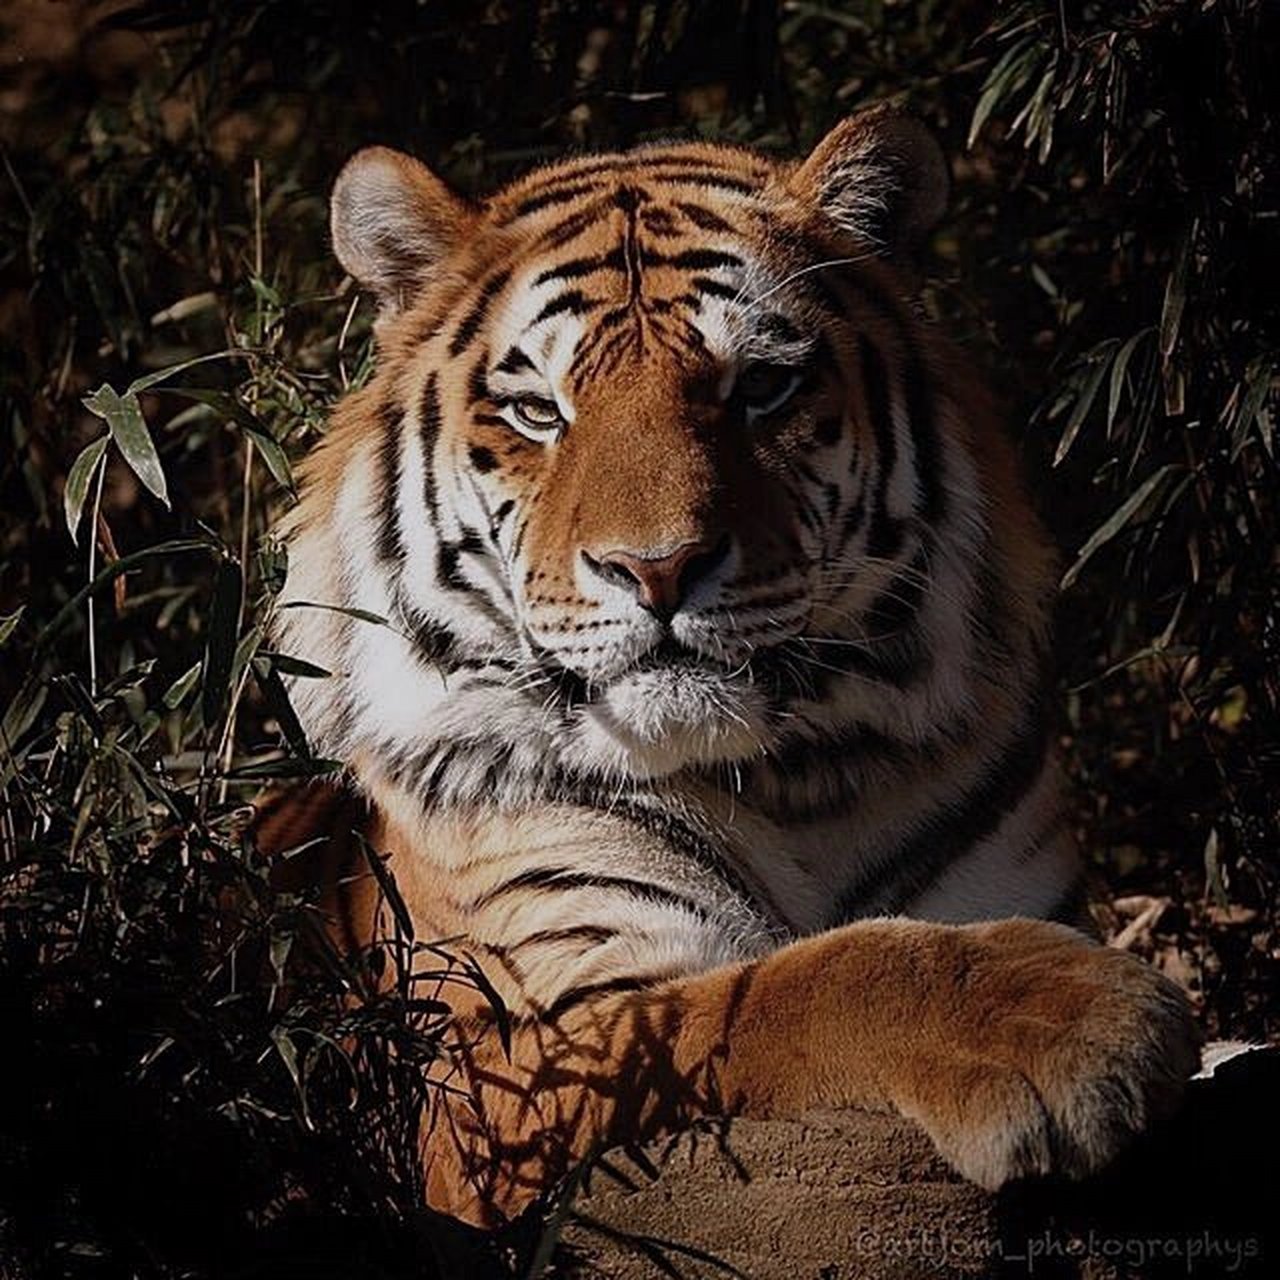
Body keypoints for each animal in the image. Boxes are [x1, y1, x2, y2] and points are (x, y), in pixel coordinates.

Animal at [264, 107, 1203, 1228]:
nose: (656, 567)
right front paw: (1076, 1018)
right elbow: (786, 986)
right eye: (539, 410)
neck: (798, 784)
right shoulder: (508, 1066)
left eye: (760, 386)